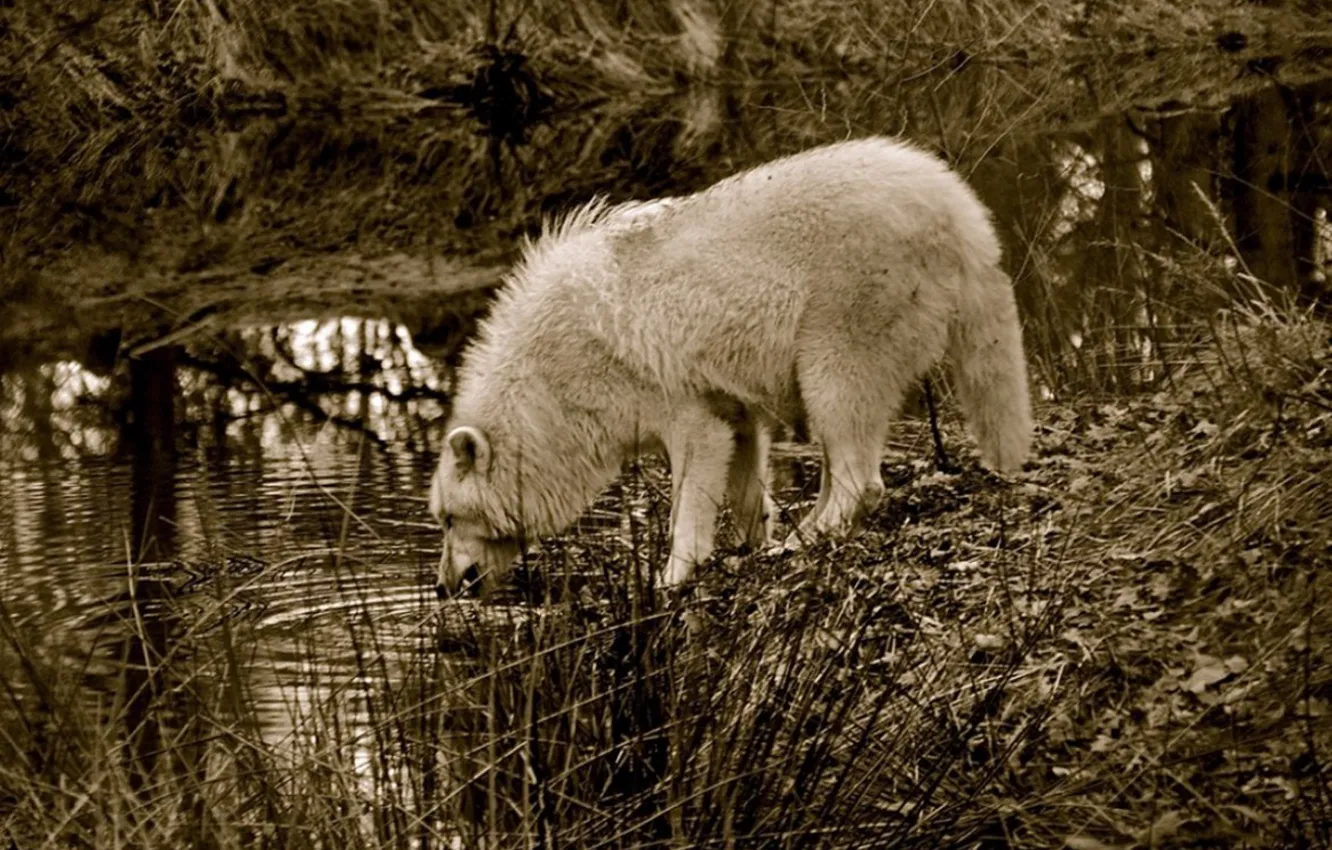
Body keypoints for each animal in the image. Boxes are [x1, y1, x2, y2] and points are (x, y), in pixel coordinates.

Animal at [428, 136, 1033, 594]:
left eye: (449, 518)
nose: (443, 585)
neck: (549, 379)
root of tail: (958, 208)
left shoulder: (669, 395)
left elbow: (692, 483)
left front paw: (672, 576)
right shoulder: (730, 403)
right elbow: (744, 472)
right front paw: (751, 543)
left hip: (843, 328)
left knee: (854, 458)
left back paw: (806, 536)